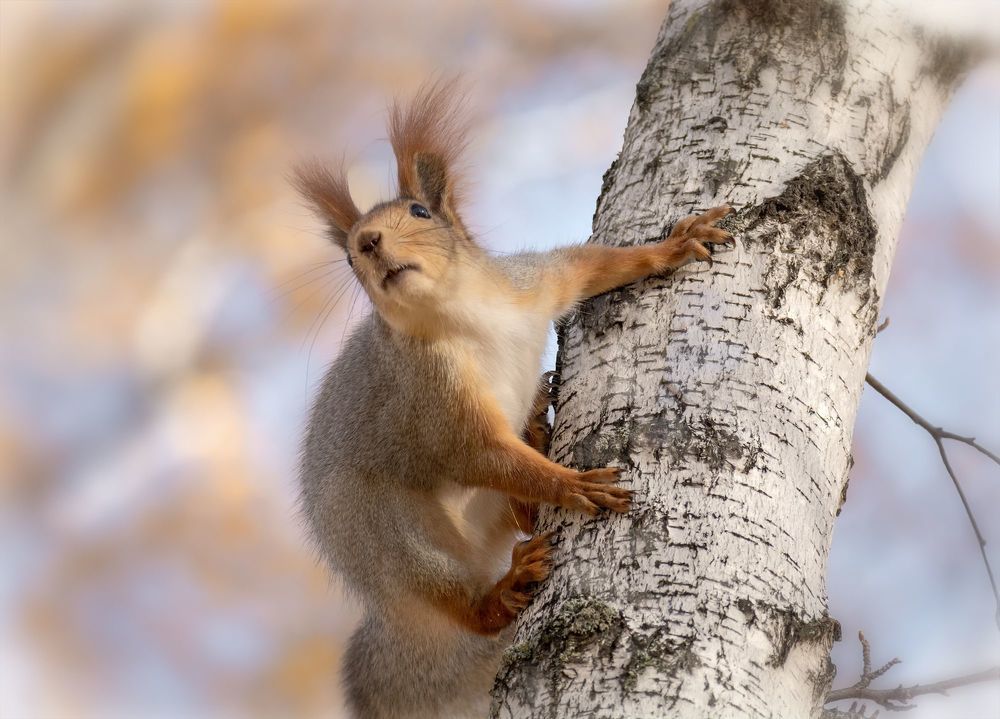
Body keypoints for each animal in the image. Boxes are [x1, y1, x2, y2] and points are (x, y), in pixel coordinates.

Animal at [294, 81, 732, 719]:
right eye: (349, 257)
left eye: (420, 213)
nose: (368, 243)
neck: (464, 314)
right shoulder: (431, 395)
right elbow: (478, 454)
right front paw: (574, 486)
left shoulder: (533, 282)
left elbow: (593, 265)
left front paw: (673, 246)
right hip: (376, 528)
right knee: (449, 590)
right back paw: (502, 588)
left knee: (513, 509)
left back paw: (535, 438)